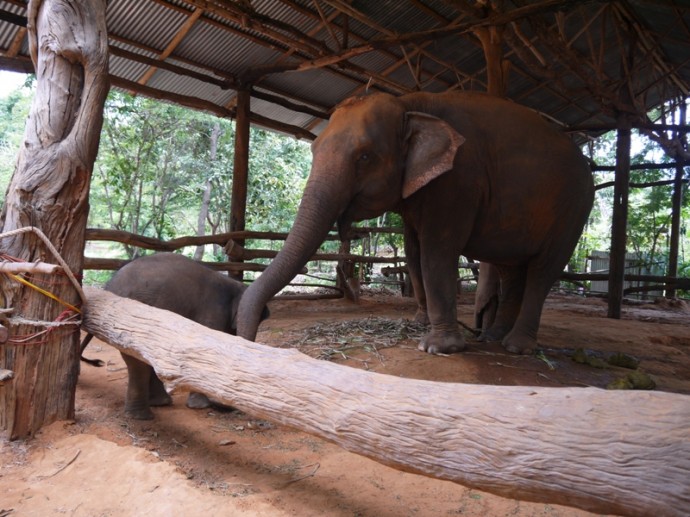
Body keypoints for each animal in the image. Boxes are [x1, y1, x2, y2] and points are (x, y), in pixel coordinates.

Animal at [83, 253, 268, 420]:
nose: (224, 407)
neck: (233, 284)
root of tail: (108, 286)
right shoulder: (213, 311)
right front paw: (200, 406)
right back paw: (145, 414)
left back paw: (159, 403)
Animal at [238, 89, 592, 354]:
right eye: (313, 148)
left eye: (365, 157)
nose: (251, 336)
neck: (410, 103)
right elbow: (414, 250)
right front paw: (424, 328)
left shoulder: (459, 179)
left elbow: (438, 250)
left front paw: (438, 347)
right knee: (512, 270)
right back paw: (492, 338)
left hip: (574, 209)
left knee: (544, 270)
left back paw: (517, 347)